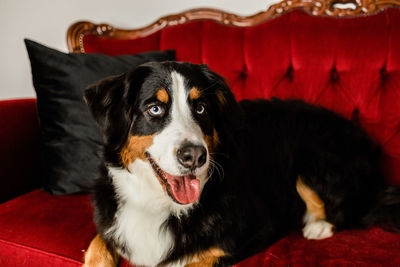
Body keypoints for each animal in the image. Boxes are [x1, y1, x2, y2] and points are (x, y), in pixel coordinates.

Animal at [82, 61, 400, 266]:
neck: (157, 203)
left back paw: (318, 227)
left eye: (201, 108)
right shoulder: (111, 221)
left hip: (312, 158)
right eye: (155, 109)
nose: (195, 156)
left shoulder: (255, 231)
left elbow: (196, 259)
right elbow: (96, 246)